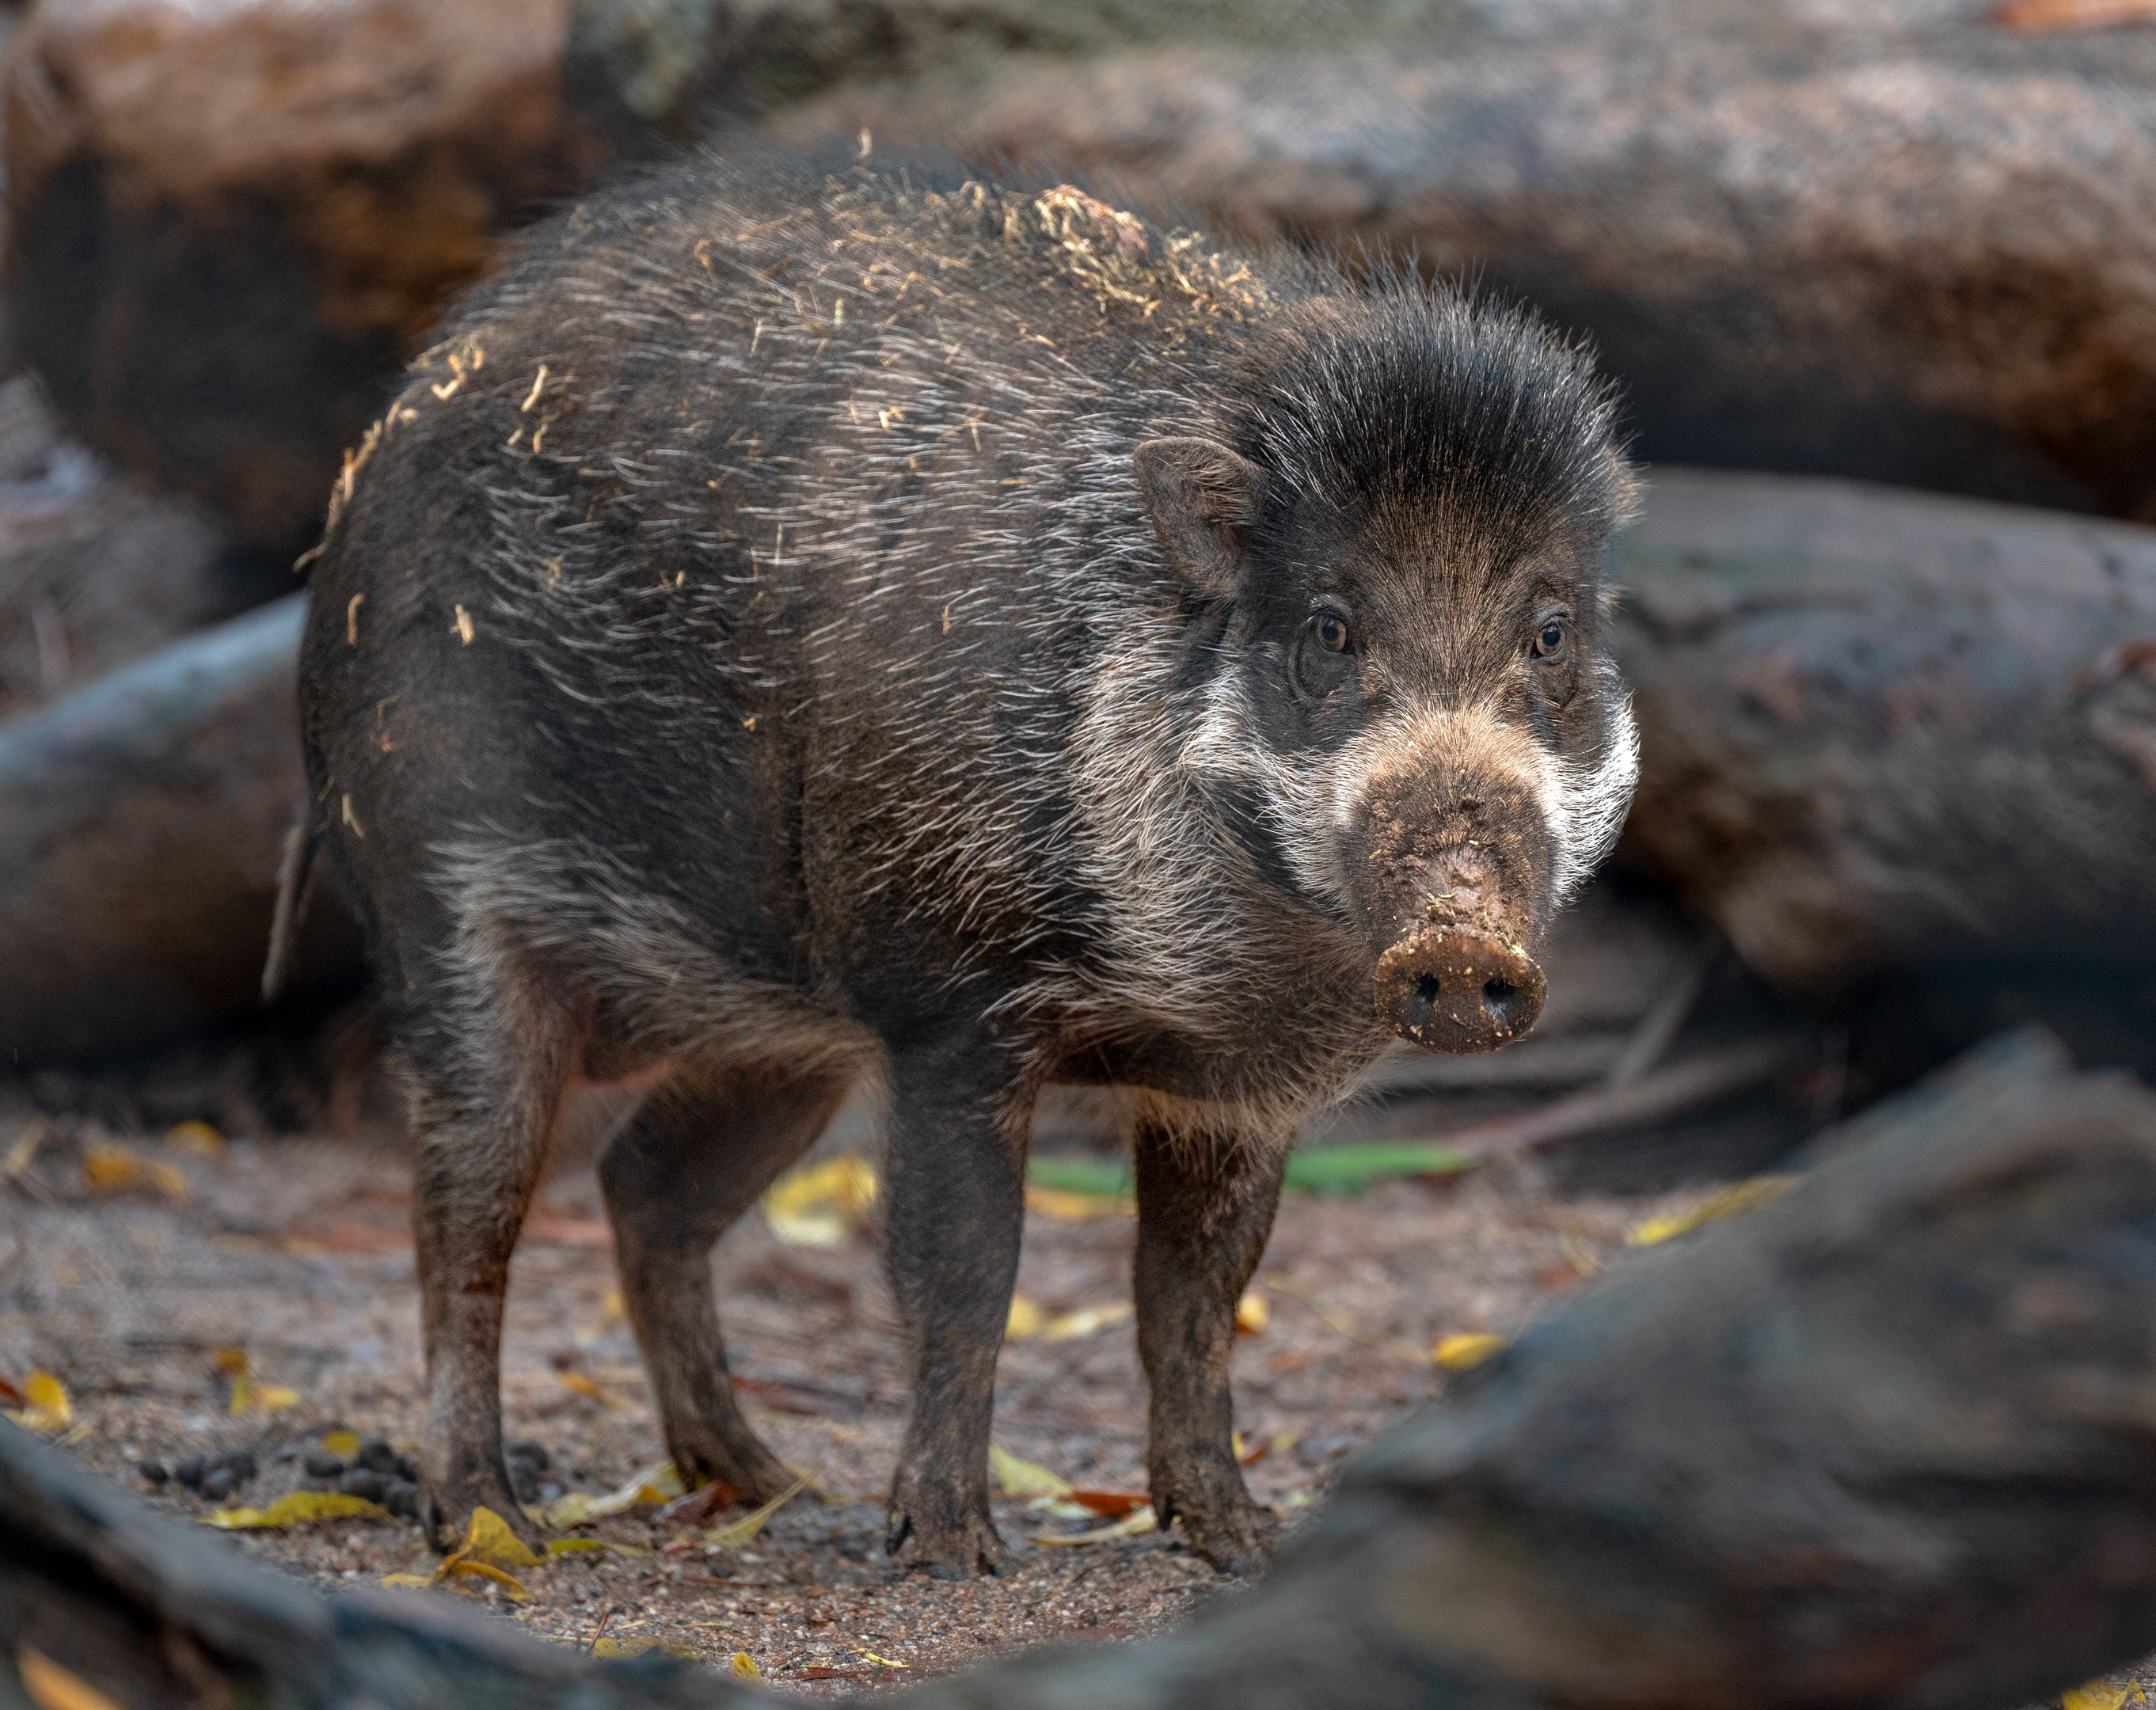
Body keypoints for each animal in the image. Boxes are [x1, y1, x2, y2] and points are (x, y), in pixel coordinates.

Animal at [276, 154, 1639, 1578]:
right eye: (1328, 627)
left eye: (1549, 631)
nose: (1461, 948)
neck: (1217, 978)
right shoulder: (947, 1005)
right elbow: (967, 1273)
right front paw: (948, 1549)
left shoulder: (1230, 1096)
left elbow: (1194, 1302)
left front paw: (1237, 1545)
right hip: (438, 904)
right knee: (468, 1213)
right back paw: (491, 1522)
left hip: (783, 1037)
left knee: (645, 1187)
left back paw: (767, 1483)